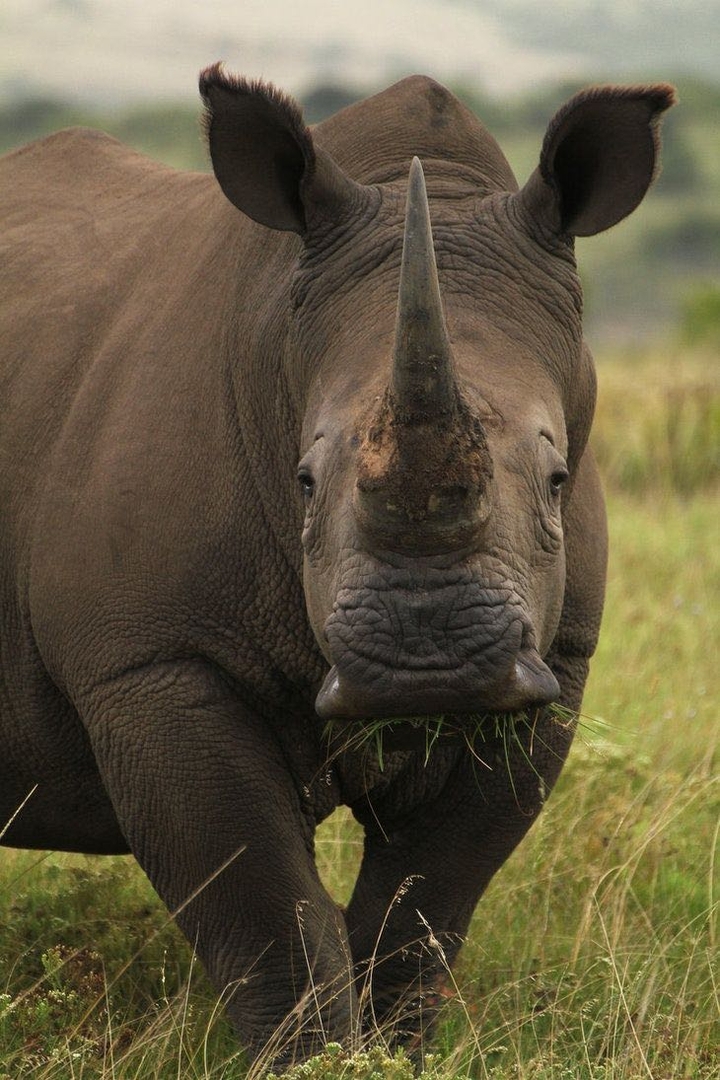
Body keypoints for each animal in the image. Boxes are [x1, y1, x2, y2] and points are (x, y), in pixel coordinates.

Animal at [0, 68, 673, 1061]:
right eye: (305, 481)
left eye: (557, 480)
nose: (427, 663)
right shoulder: (152, 660)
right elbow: (267, 912)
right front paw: (315, 1060)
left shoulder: (559, 659)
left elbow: (425, 904)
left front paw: (394, 1055)